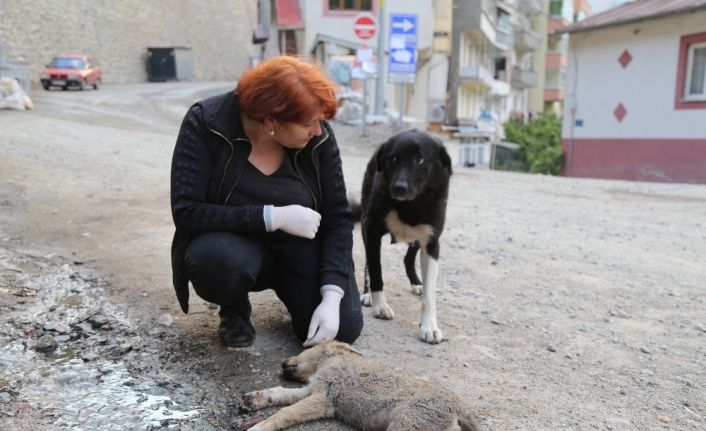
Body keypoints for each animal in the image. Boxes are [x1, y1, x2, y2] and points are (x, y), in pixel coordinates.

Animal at [239, 344, 476, 431]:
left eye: (307, 346)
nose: (282, 363)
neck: (331, 359)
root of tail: (458, 406)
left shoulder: (324, 397)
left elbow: (285, 412)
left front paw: (258, 427)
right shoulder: (313, 390)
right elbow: (279, 393)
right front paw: (251, 400)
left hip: (408, 422)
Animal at [358, 128, 452, 344]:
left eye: (420, 159)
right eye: (393, 159)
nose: (398, 187)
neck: (411, 206)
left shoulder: (431, 242)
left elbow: (430, 294)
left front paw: (429, 326)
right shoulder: (372, 230)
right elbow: (376, 272)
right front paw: (380, 306)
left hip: (417, 239)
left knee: (408, 258)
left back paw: (417, 283)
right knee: (368, 263)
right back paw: (367, 295)